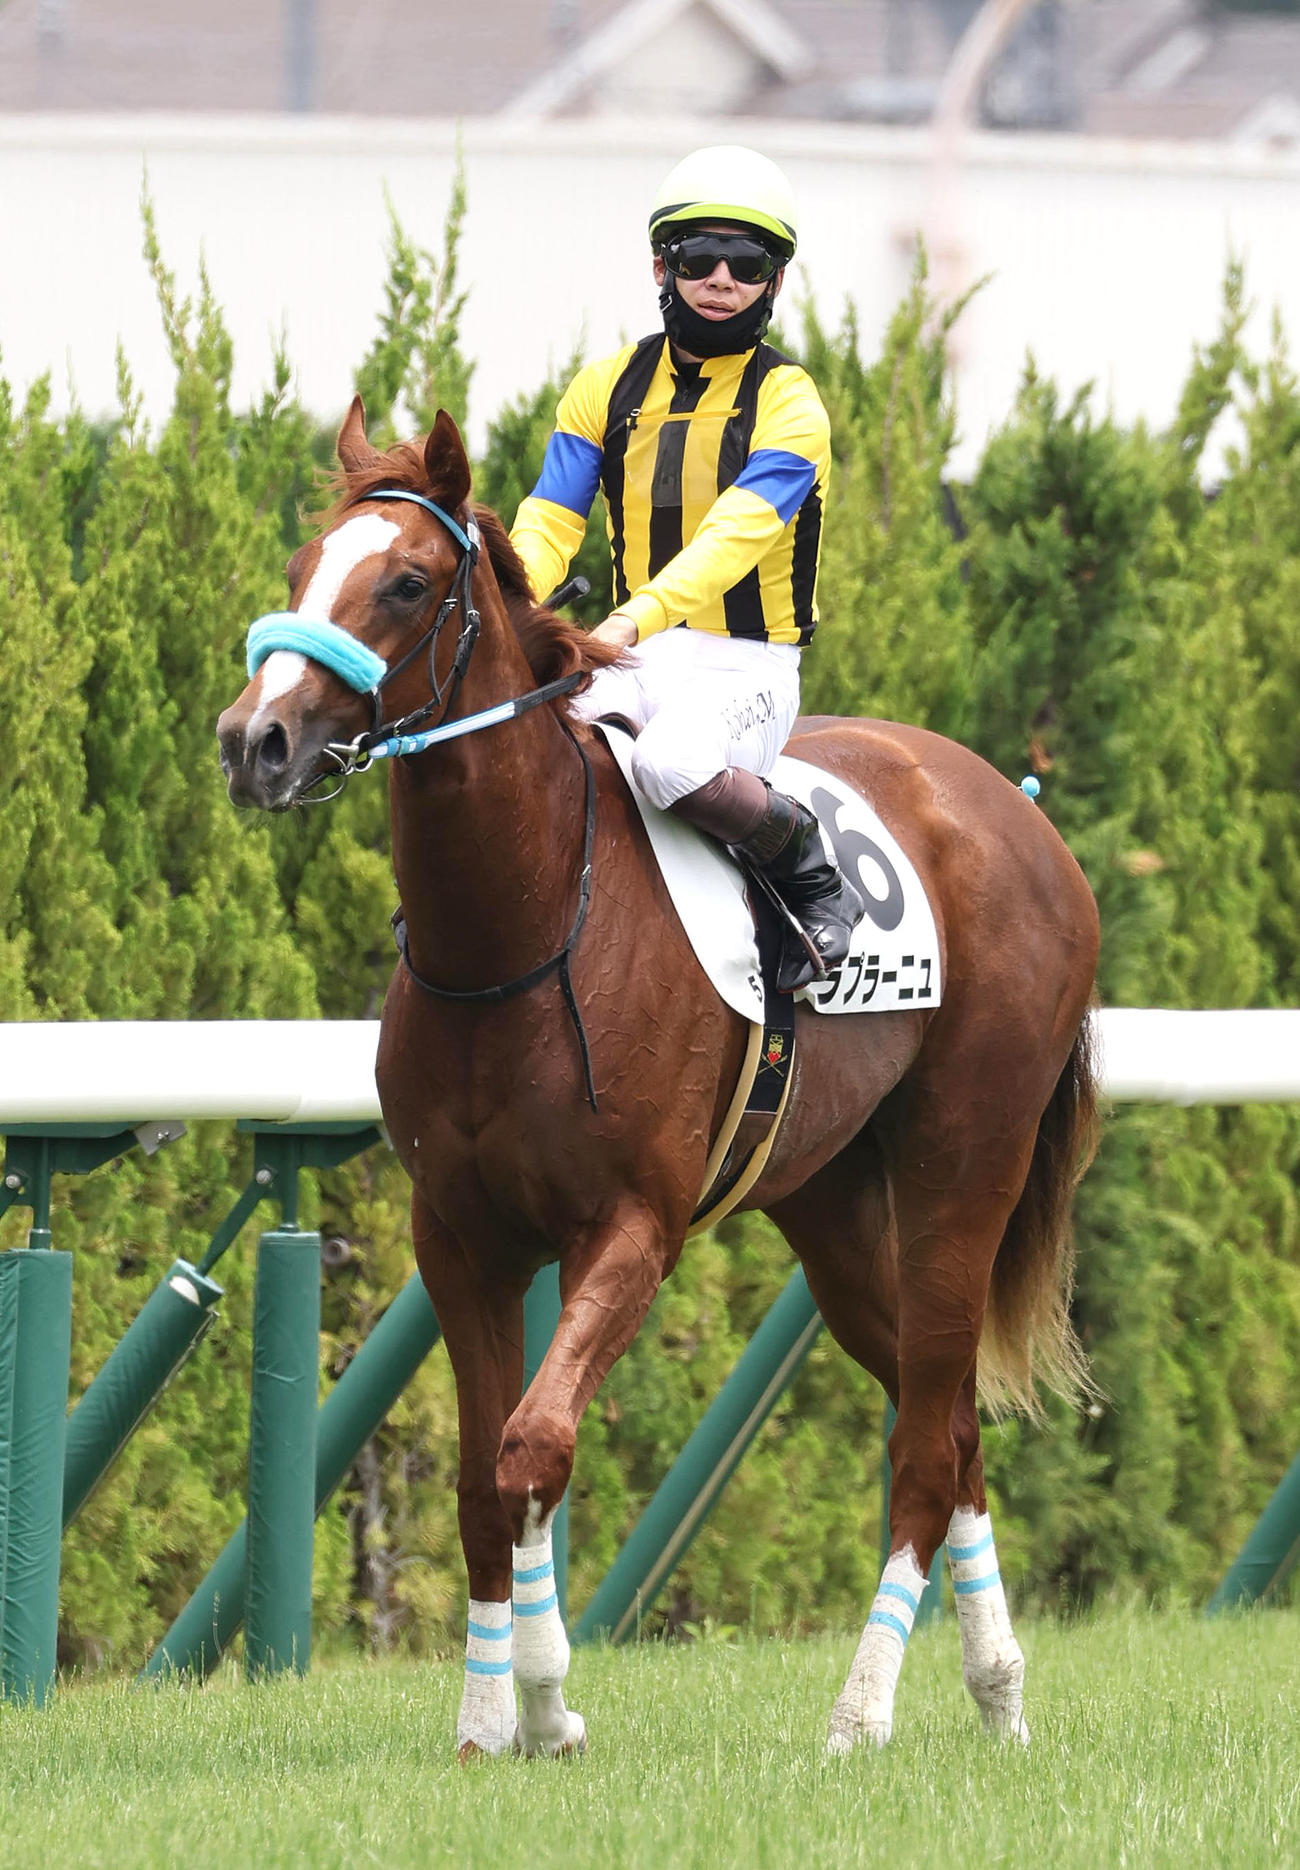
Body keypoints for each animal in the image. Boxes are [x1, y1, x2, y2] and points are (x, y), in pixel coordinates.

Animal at [217, 398, 1100, 1759]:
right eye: (303, 565)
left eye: (406, 582)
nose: (253, 741)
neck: (524, 931)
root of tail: (1019, 812)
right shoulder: (457, 1232)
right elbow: (478, 1480)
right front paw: (487, 1721)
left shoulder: (630, 1225)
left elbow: (533, 1445)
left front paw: (548, 1704)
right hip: (829, 1204)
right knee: (945, 1416)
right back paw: (996, 1690)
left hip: (965, 1163)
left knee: (921, 1439)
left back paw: (860, 1712)